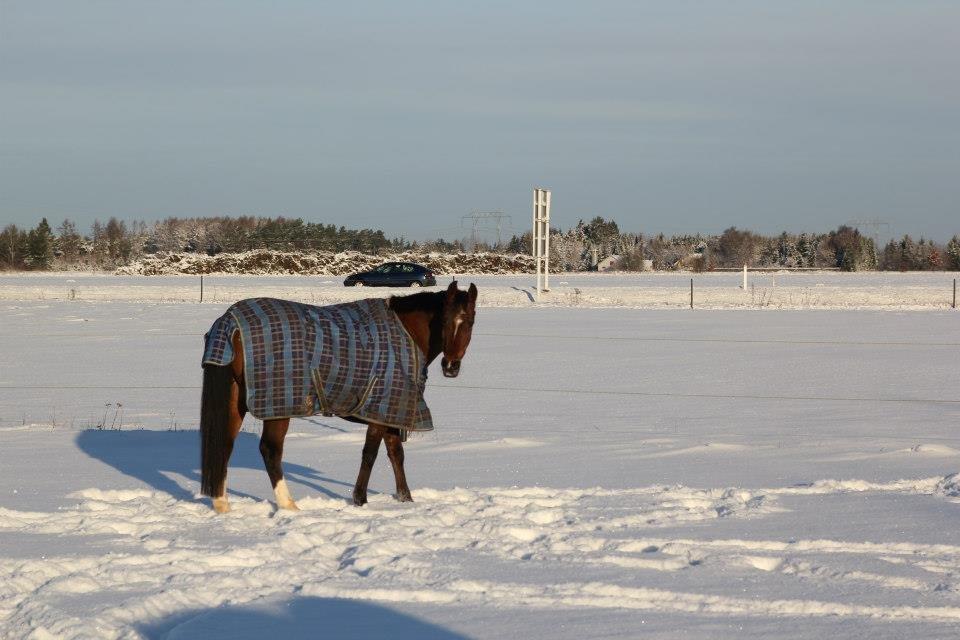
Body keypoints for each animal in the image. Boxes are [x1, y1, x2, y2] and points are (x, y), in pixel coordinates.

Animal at [200, 282, 480, 512]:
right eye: (444, 321)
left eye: (470, 322)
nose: (450, 367)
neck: (405, 333)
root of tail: (230, 322)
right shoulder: (378, 409)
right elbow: (370, 454)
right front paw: (360, 499)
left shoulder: (392, 409)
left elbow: (396, 454)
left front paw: (405, 499)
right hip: (277, 408)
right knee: (270, 450)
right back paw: (289, 505)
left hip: (236, 402)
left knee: (224, 444)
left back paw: (222, 504)